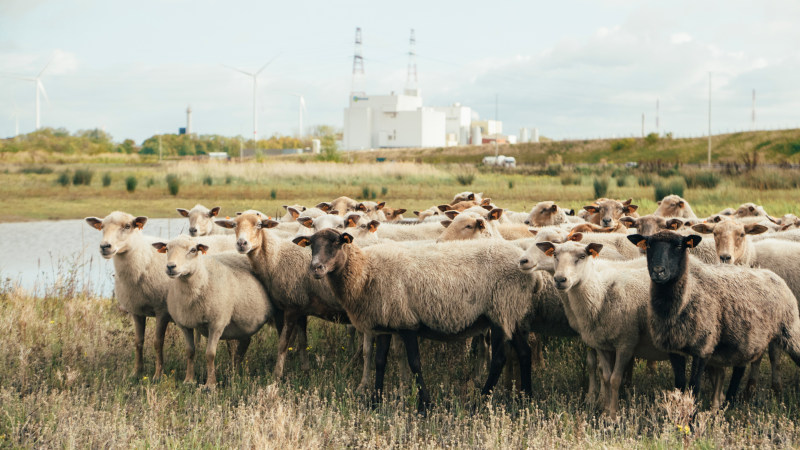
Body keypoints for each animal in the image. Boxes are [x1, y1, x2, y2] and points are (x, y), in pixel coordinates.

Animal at [151, 236, 276, 386]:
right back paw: (235, 371)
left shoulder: (217, 324)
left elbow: (210, 354)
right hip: (243, 321)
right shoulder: (185, 324)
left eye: (193, 250)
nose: (170, 267)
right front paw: (189, 380)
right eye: (167, 249)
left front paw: (210, 384)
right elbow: (190, 352)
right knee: (244, 343)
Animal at [294, 230, 544, 414]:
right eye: (311, 245)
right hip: (512, 313)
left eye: (337, 243)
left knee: (499, 358)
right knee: (524, 352)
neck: (366, 271)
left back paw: (481, 401)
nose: (316, 268)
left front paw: (425, 404)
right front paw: (375, 401)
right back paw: (527, 398)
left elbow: (415, 363)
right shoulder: (385, 323)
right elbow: (380, 361)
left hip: (501, 310)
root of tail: (534, 275)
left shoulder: (407, 323)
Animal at [536, 241, 680, 416]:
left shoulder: (626, 344)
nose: (560, 279)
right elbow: (603, 374)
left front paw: (611, 412)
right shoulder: (598, 342)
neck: (601, 292)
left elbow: (614, 378)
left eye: (582, 256)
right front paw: (602, 407)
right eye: (555, 255)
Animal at [628, 230, 800, 406]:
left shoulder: (703, 347)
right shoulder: (674, 348)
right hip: (746, 336)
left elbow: (694, 387)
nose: (658, 271)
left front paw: (692, 412)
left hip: (790, 330)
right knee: (740, 368)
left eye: (679, 246)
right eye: (649, 245)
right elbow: (680, 385)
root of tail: (772, 274)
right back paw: (730, 401)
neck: (688, 296)